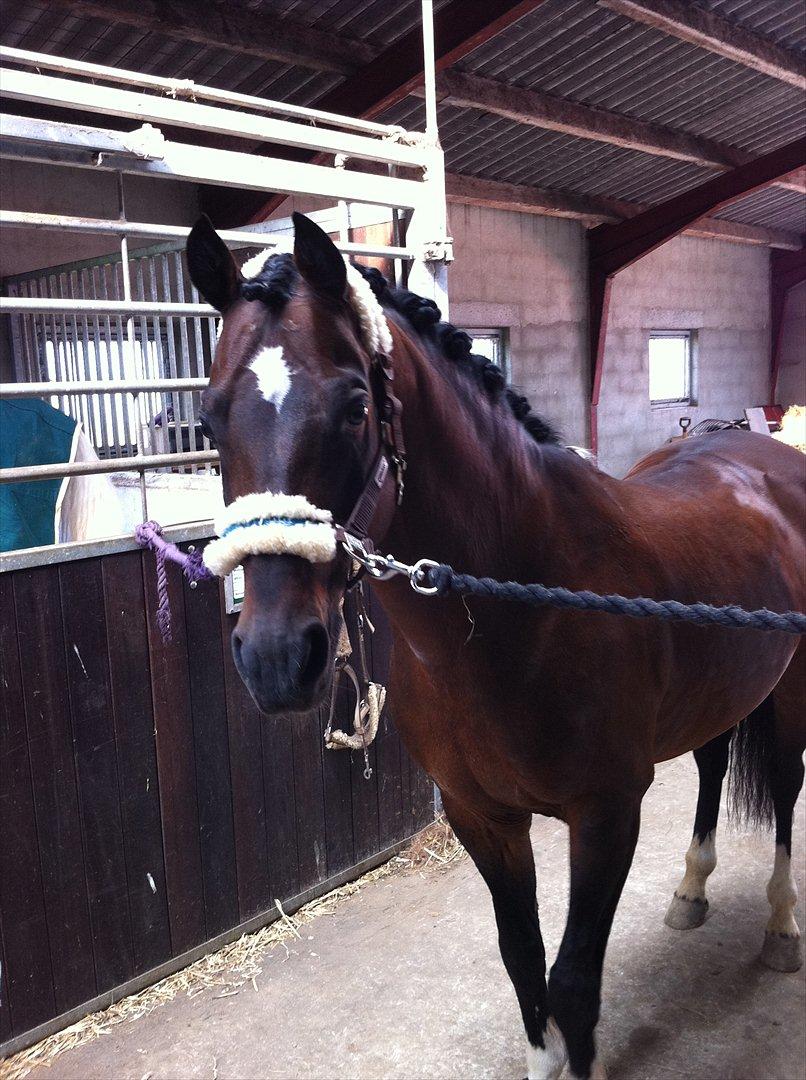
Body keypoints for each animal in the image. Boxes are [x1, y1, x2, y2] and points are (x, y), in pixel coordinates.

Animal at [186, 212, 805, 1080]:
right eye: (210, 418)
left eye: (354, 406)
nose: (277, 657)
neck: (521, 613)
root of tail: (755, 449)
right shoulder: (482, 817)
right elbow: (523, 962)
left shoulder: (606, 813)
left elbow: (573, 981)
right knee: (715, 765)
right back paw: (691, 890)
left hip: (793, 691)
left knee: (784, 788)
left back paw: (781, 926)